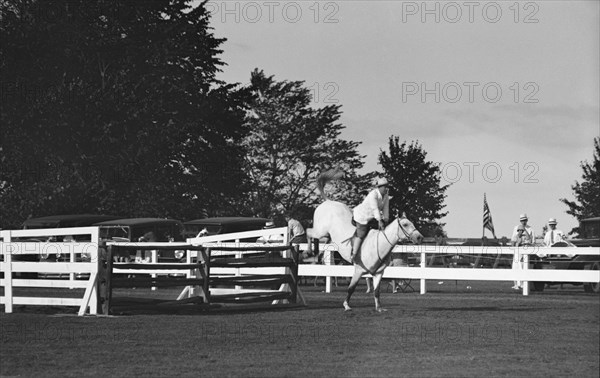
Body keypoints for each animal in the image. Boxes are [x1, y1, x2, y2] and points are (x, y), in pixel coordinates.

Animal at [310, 173, 422, 312]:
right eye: (405, 224)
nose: (420, 237)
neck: (379, 245)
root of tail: (328, 201)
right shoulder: (358, 271)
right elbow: (351, 288)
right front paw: (346, 305)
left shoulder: (378, 273)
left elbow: (377, 292)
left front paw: (379, 308)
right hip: (319, 231)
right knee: (310, 233)